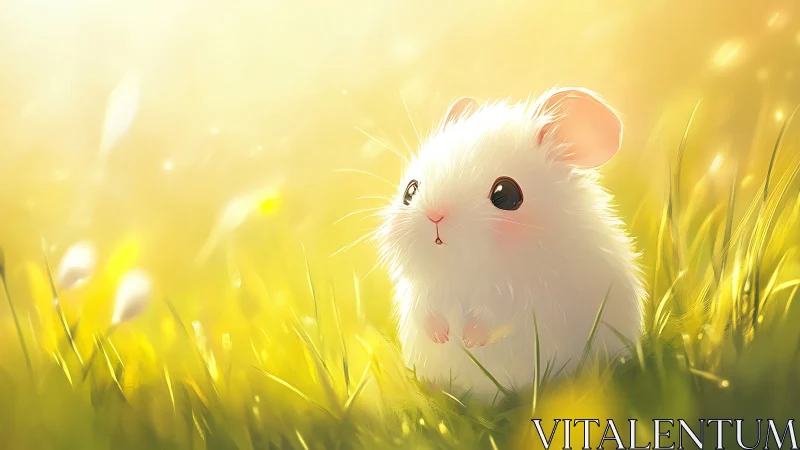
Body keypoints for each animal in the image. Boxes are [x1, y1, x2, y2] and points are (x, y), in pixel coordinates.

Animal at [373, 86, 646, 399]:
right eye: (410, 190)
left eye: (506, 194)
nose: (435, 215)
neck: (461, 272)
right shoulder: (424, 292)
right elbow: (426, 312)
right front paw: (443, 336)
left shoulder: (524, 295)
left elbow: (496, 317)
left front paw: (469, 340)